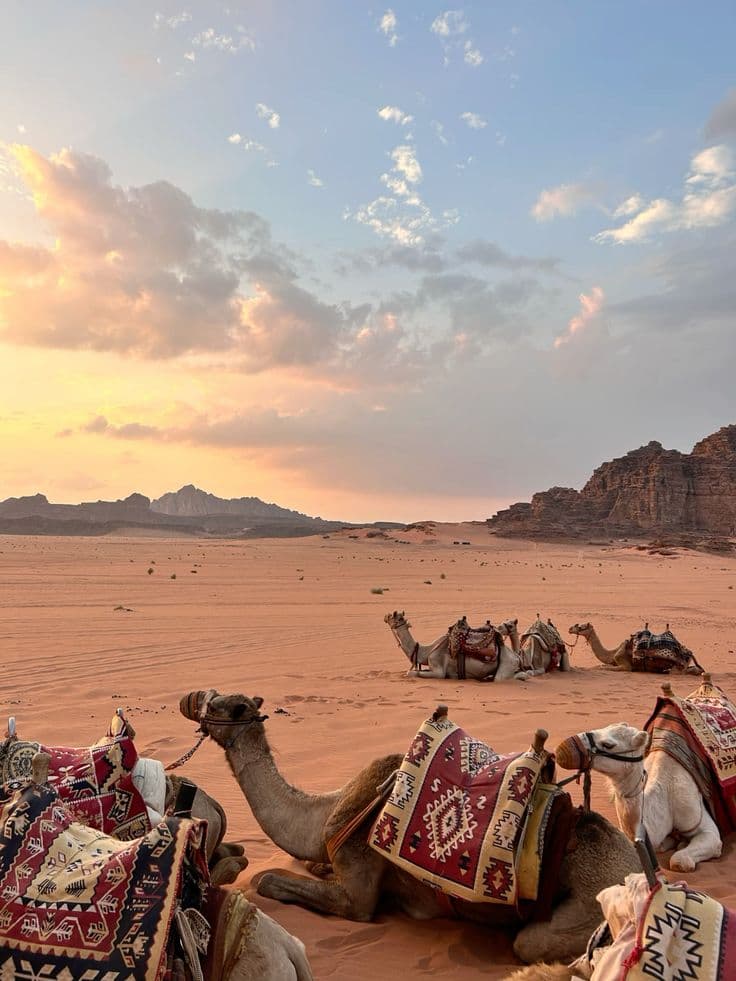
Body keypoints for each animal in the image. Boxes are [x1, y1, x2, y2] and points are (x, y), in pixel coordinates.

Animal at [180, 688, 644, 964]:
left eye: (221, 705)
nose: (194, 699)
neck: (325, 812)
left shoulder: (358, 887)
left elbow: (270, 882)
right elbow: (307, 867)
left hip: (588, 909)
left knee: (530, 942)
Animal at [382, 608, 532, 676]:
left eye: (395, 617)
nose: (385, 615)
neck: (426, 651)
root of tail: (516, 656)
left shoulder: (438, 671)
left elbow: (412, 673)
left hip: (506, 666)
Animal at [556, 716, 720, 868]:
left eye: (608, 745)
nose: (563, 748)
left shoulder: (698, 818)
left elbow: (679, 861)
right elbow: (659, 846)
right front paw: (674, 842)